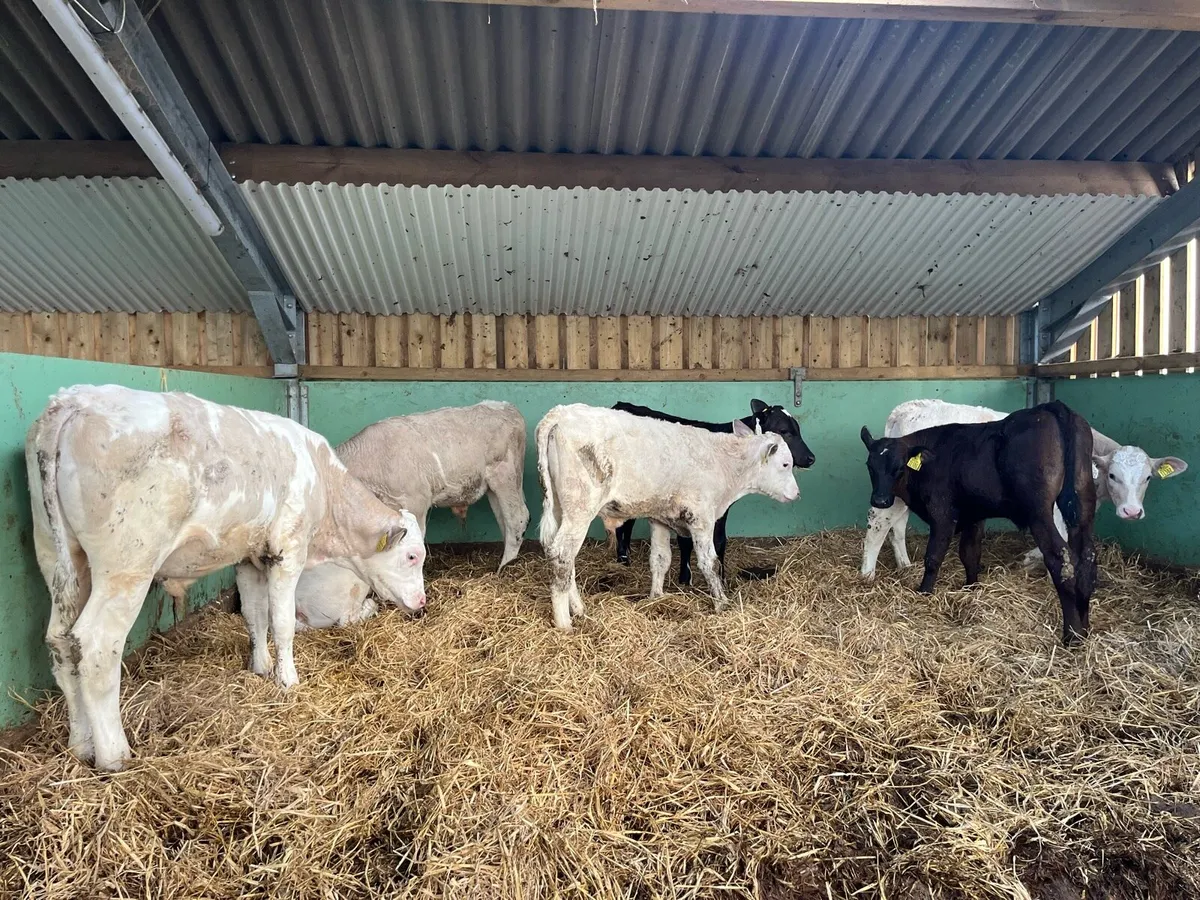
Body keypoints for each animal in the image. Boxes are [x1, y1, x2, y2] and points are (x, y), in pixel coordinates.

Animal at [26, 385, 428, 771]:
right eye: (412, 556)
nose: (422, 602)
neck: (323, 488)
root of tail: (73, 401)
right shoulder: (288, 550)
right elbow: (282, 622)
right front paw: (287, 680)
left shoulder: (250, 557)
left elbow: (255, 615)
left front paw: (261, 668)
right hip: (127, 564)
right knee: (97, 646)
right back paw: (113, 755)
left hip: (57, 555)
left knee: (60, 641)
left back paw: (80, 745)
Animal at [292, 401, 529, 630]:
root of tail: (506, 406)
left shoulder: (417, 500)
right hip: (492, 487)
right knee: (505, 522)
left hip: (505, 475)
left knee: (517, 517)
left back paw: (504, 566)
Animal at [609, 399, 815, 584]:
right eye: (784, 431)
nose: (811, 458)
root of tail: (621, 405)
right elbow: (691, 541)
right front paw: (688, 579)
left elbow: (718, 541)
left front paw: (715, 579)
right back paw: (622, 560)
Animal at [859, 398, 1187, 581]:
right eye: (1113, 475)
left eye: (1147, 478)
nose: (1132, 511)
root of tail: (906, 408)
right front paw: (1036, 562)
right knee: (878, 522)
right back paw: (867, 573)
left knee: (897, 523)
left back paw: (904, 564)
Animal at [860, 400, 1097, 647]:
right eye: (870, 466)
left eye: (899, 467)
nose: (880, 498)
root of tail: (1051, 408)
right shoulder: (972, 513)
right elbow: (970, 553)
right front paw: (971, 588)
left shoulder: (943, 514)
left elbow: (934, 557)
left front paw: (924, 592)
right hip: (1082, 509)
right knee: (1087, 558)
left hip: (1039, 512)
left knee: (1061, 559)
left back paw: (1072, 635)